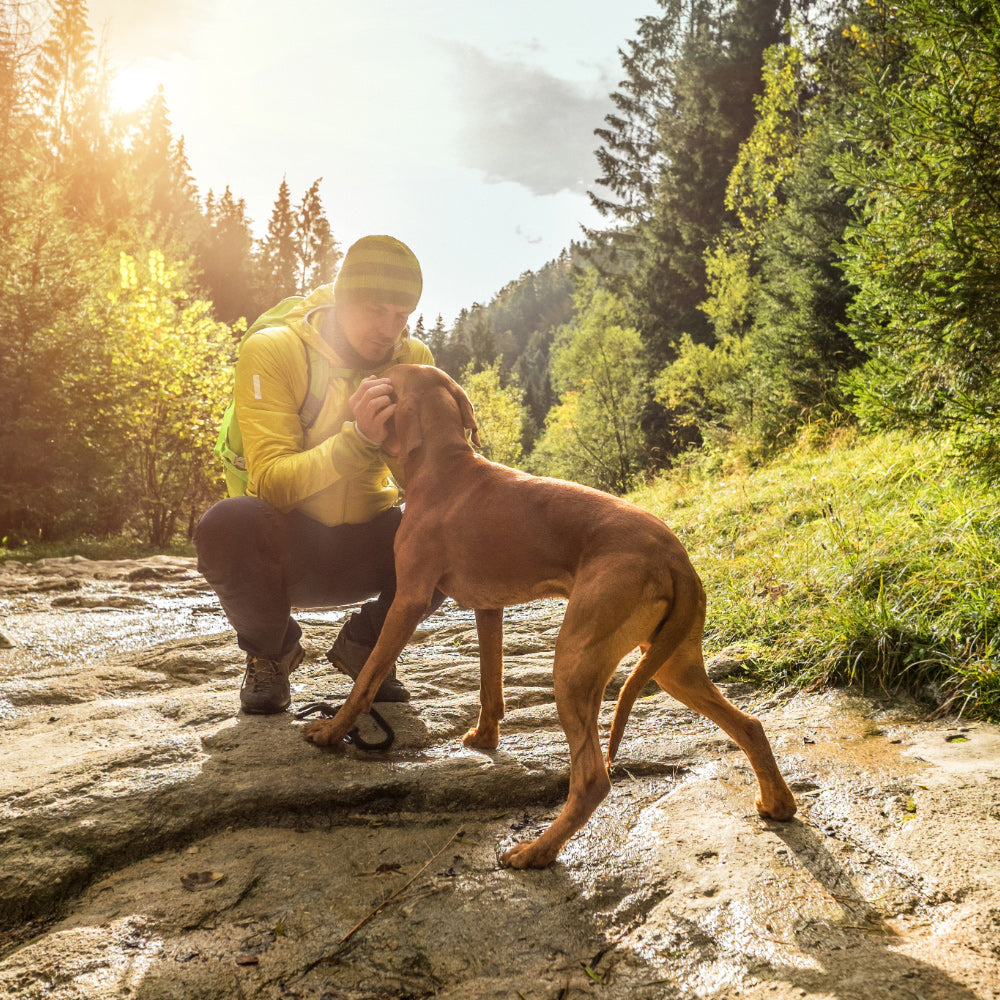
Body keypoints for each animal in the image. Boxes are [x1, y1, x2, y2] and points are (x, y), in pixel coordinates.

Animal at [304, 366, 796, 868]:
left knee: (593, 778)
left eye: (384, 377)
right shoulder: (489, 607)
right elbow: (491, 685)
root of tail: (676, 557)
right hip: (673, 665)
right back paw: (778, 803)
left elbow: (367, 677)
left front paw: (332, 731)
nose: (360, 379)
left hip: (575, 660)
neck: (445, 469)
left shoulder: (410, 599)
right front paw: (485, 738)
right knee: (750, 725)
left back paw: (536, 851)